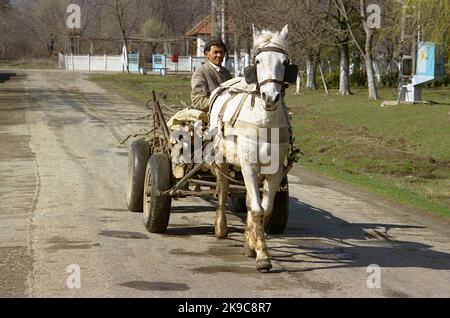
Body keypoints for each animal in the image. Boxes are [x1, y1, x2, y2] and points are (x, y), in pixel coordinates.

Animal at [209, 25, 294, 274]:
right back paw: (221, 228)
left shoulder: (274, 171)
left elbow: (264, 208)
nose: (271, 97)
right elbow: (256, 209)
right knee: (223, 188)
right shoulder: (248, 165)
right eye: (257, 61)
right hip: (222, 159)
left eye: (285, 62)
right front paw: (263, 256)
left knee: (247, 199)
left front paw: (254, 246)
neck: (265, 121)